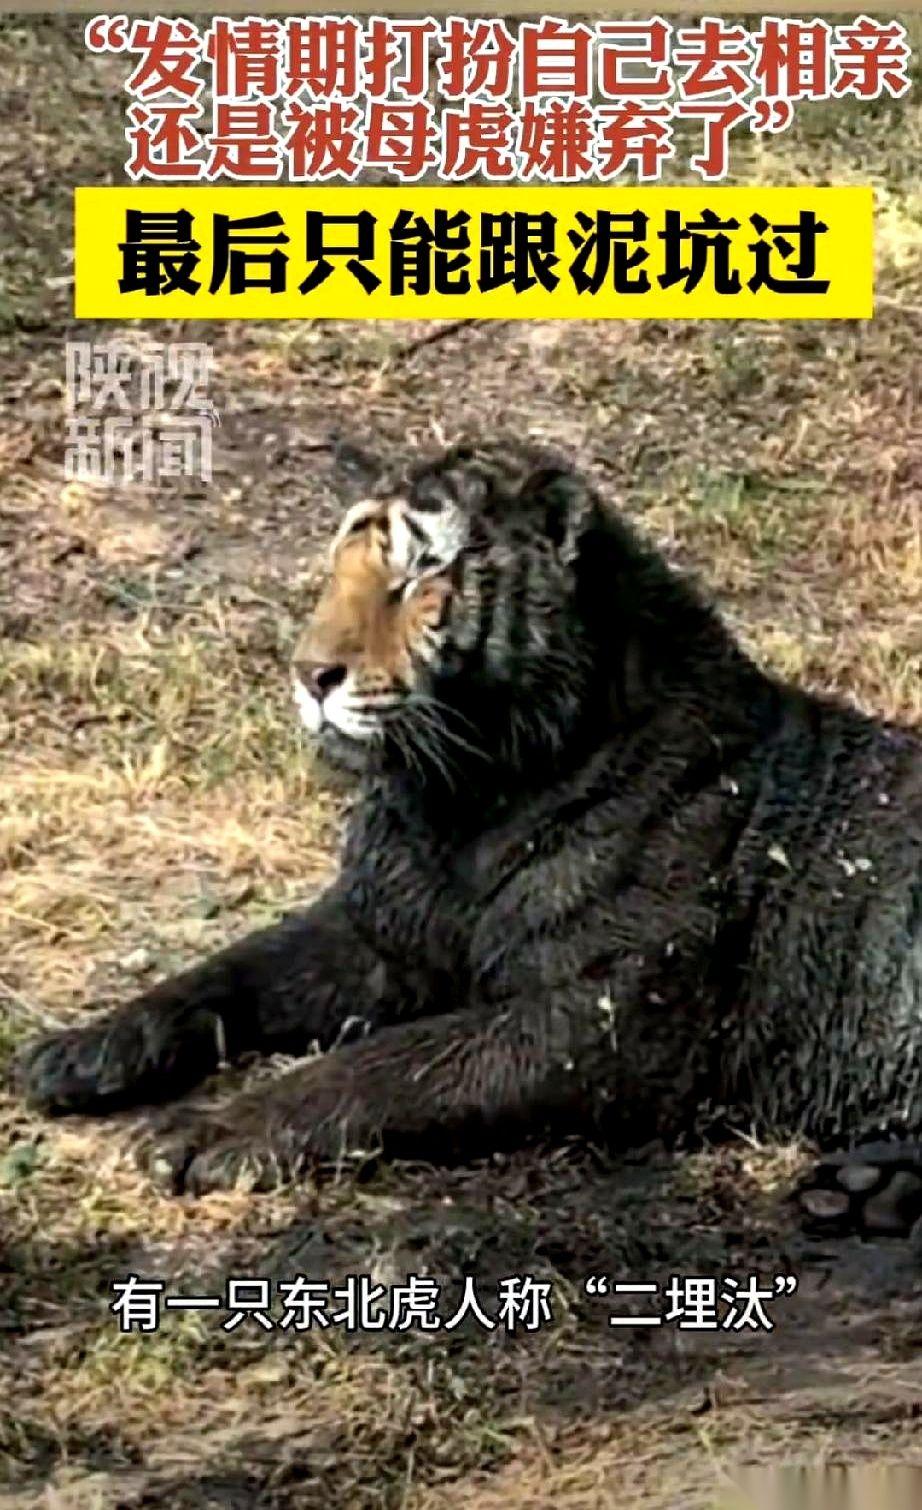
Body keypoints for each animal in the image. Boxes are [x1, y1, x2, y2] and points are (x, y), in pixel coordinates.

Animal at [17, 440, 922, 1236]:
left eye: (420, 572)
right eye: (338, 569)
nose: (309, 674)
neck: (458, 799)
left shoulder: (608, 1012)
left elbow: (393, 1063)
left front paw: (212, 1132)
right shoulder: (378, 930)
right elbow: (229, 971)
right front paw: (78, 1050)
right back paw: (866, 1188)